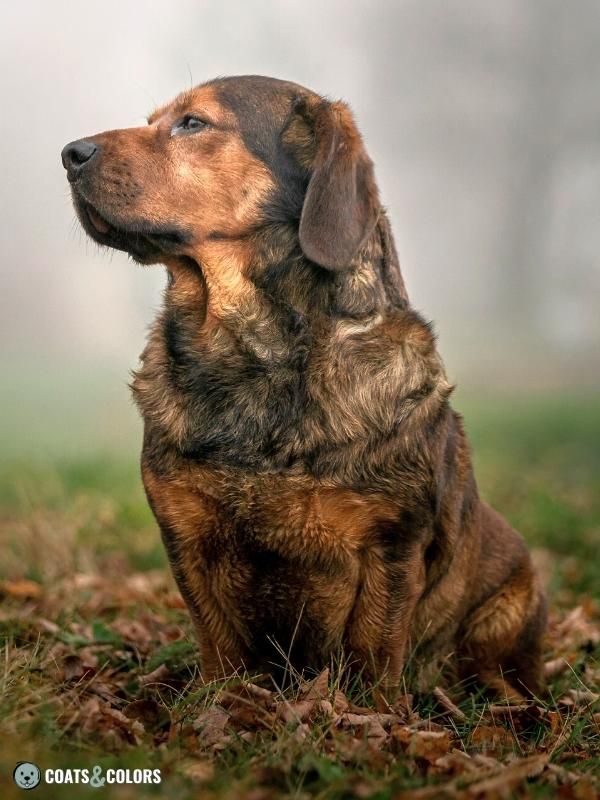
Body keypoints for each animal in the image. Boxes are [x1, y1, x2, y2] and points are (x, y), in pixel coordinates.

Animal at [62, 76, 548, 700]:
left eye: (193, 123)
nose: (69, 153)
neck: (255, 355)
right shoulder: (188, 535)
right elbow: (220, 649)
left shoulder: (391, 547)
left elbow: (373, 656)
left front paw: (372, 716)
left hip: (509, 604)